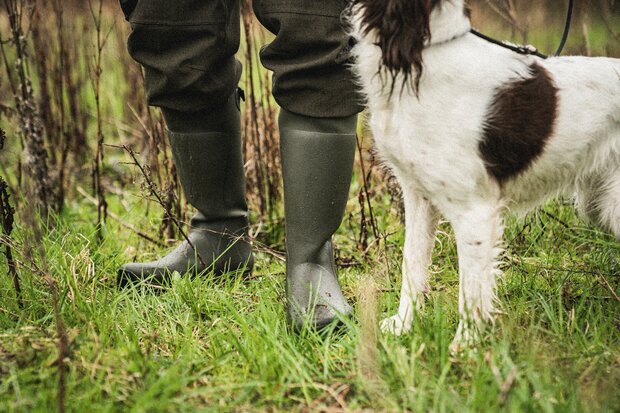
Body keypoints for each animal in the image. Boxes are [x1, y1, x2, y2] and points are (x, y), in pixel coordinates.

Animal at [348, 0, 620, 348]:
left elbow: (471, 289)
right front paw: (402, 326)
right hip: (601, 204)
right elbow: (413, 264)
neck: (424, 50)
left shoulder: (473, 210)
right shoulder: (418, 195)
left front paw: (464, 346)